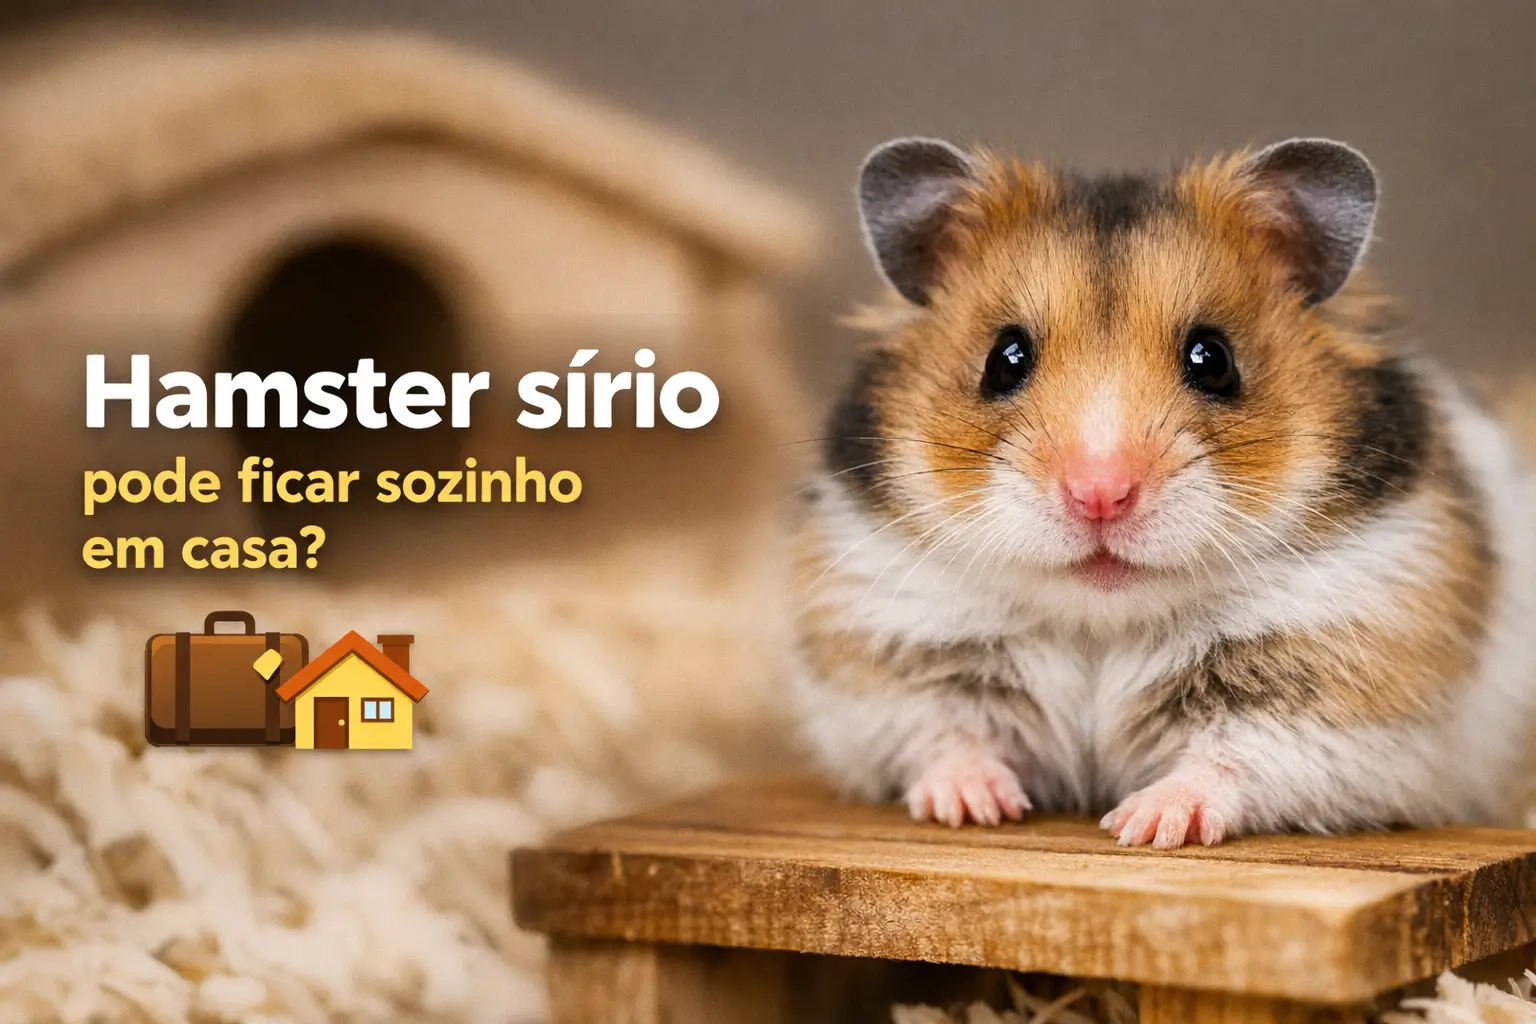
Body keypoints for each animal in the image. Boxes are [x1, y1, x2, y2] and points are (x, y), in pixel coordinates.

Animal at [791, 136, 1536, 848]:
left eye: (1213, 358)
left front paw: (1143, 824)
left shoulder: (1340, 687)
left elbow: (1236, 758)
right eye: (1004, 358)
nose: (1099, 496)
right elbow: (944, 732)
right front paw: (972, 809)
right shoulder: (898, 656)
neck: (1102, 621)